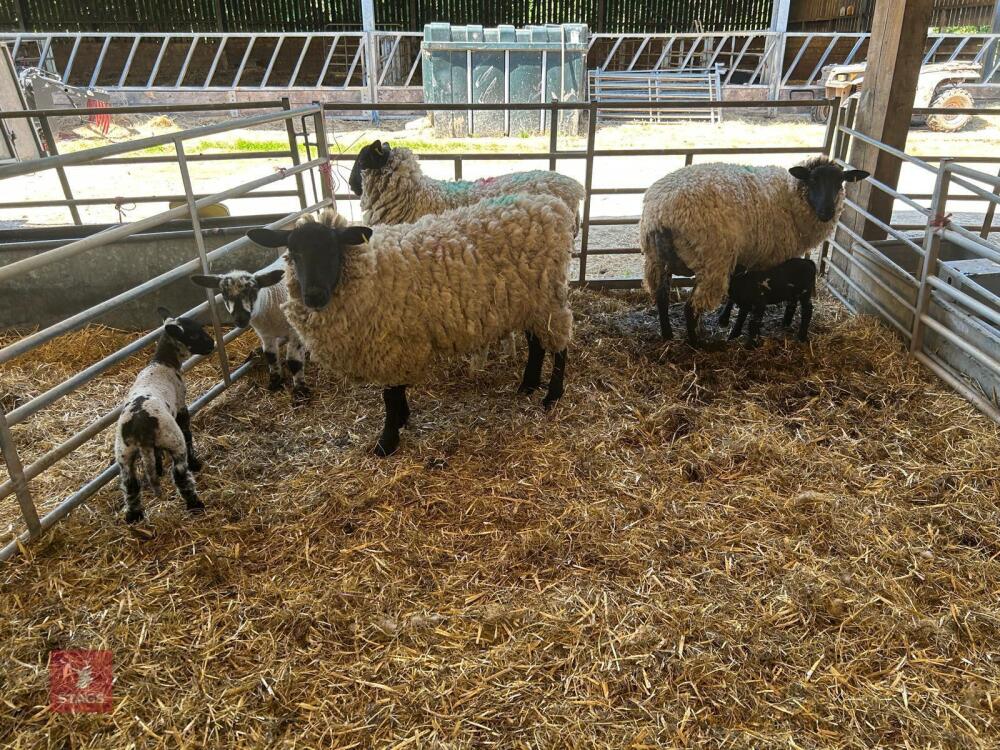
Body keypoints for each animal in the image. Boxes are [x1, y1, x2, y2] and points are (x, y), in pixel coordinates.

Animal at [114, 308, 215, 523]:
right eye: (194, 335)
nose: (212, 344)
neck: (163, 362)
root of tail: (140, 428)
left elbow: (155, 458)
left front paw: (158, 467)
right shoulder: (182, 406)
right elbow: (188, 433)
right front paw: (195, 462)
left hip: (123, 453)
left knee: (130, 484)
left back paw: (134, 516)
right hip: (173, 439)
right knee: (180, 474)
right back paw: (195, 504)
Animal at [190, 258, 309, 399]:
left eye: (253, 291)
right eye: (224, 294)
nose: (240, 319)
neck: (270, 301)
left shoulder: (295, 332)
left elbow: (294, 362)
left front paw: (300, 391)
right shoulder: (265, 334)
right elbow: (271, 356)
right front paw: (275, 381)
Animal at [245, 196, 575, 457]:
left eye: (332, 250)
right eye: (293, 253)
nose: (314, 296)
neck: (372, 270)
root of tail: (552, 206)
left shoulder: (391, 343)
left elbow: (389, 396)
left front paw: (387, 441)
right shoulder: (395, 341)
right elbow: (396, 392)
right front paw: (402, 420)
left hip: (548, 297)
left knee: (559, 346)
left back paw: (552, 395)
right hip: (527, 302)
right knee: (536, 344)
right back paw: (527, 385)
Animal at [639, 156, 868, 343]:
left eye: (840, 183)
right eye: (812, 181)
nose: (827, 212)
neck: (791, 196)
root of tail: (661, 213)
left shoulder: (747, 256)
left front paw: (725, 319)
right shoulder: (768, 258)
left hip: (656, 259)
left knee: (661, 297)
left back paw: (668, 334)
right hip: (713, 262)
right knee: (691, 307)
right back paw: (696, 343)